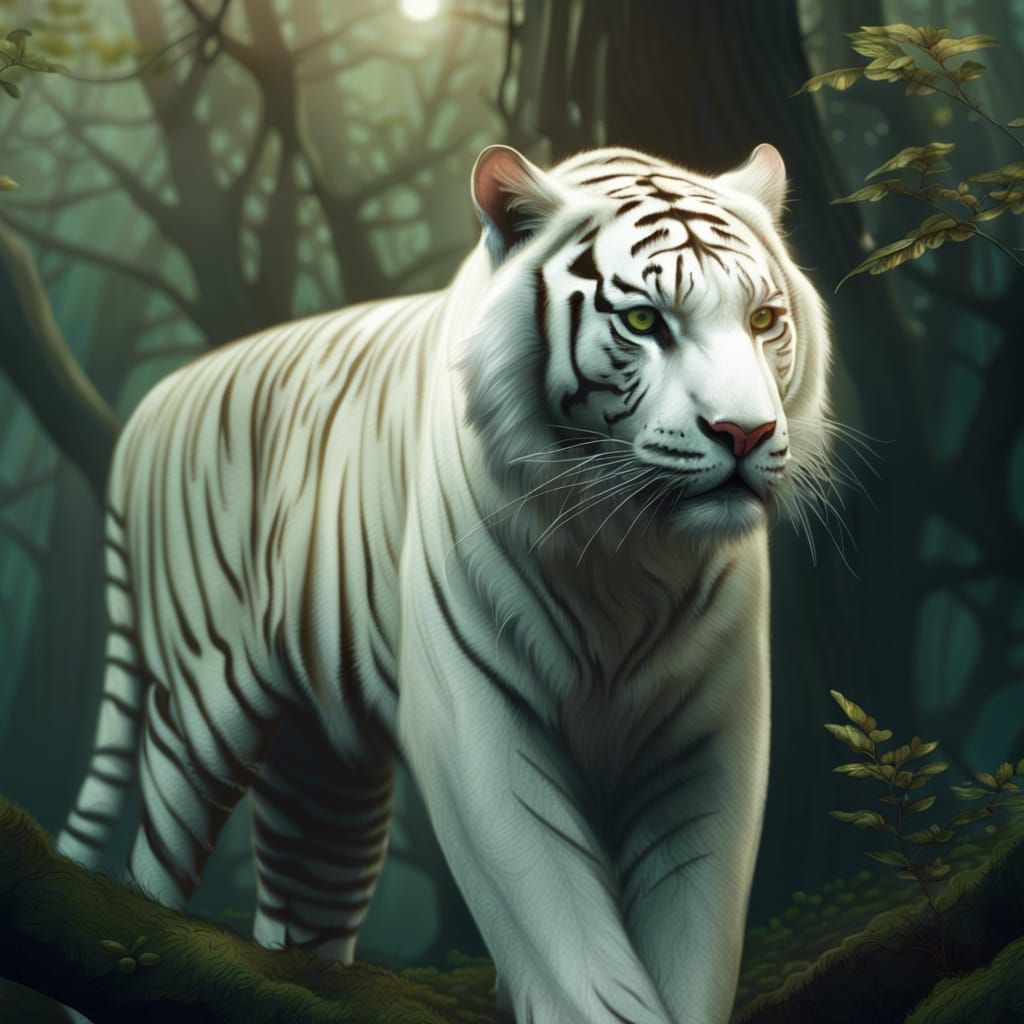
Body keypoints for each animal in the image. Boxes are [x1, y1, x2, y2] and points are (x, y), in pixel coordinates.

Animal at [57, 141, 831, 1024]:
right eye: (643, 322)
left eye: (763, 320)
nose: (747, 433)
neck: (627, 553)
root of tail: (151, 406)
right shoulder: (482, 719)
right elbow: (568, 944)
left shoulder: (705, 737)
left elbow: (691, 935)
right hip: (198, 715)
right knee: (150, 872)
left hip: (324, 779)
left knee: (301, 912)